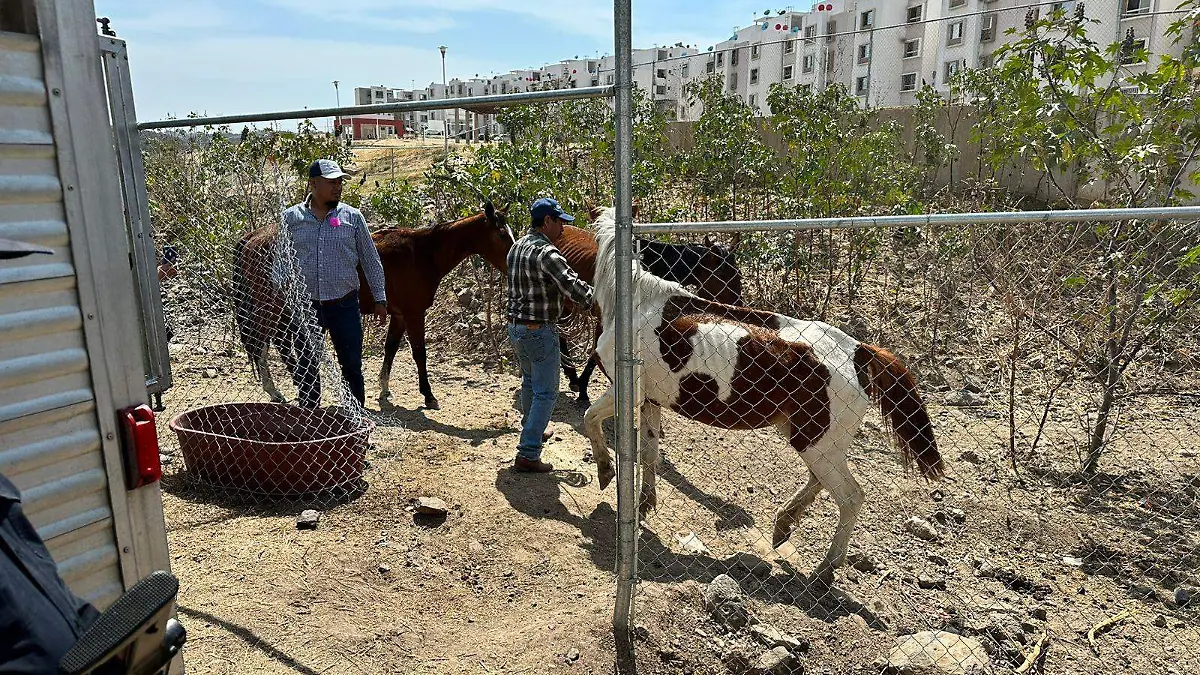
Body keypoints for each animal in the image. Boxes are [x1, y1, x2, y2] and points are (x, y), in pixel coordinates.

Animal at [232, 204, 514, 409]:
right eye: (502, 235)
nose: (514, 263)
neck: (422, 253)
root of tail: (253, 237)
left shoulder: (399, 316)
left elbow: (390, 349)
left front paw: (384, 388)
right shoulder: (414, 314)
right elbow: (419, 354)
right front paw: (428, 395)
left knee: (277, 344)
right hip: (271, 307)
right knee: (262, 344)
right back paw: (276, 390)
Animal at [582, 207, 944, 591]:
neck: (635, 302)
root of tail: (860, 352)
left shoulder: (625, 392)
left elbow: (590, 417)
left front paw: (605, 470)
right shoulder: (649, 400)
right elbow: (649, 453)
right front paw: (644, 504)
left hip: (816, 443)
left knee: (851, 498)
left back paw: (826, 569)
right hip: (811, 439)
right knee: (818, 482)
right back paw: (784, 524)